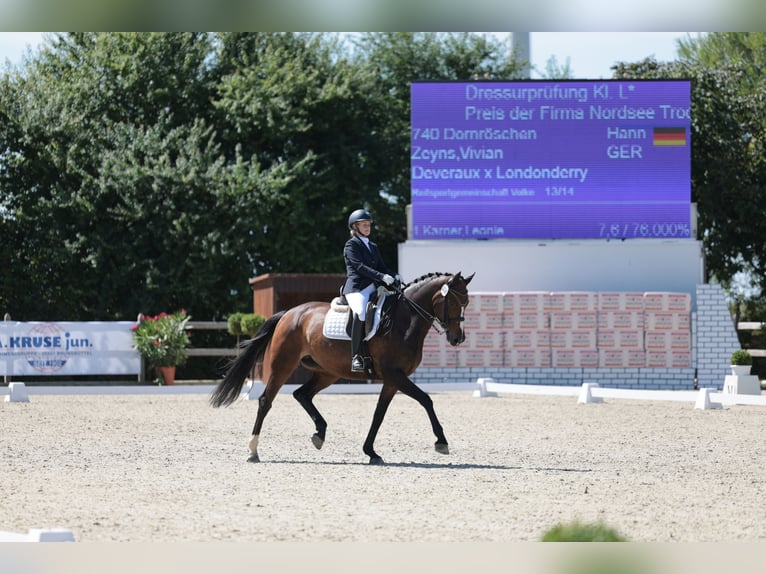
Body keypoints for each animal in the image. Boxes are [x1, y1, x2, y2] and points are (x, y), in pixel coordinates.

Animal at [210, 272, 474, 466]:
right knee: (266, 400)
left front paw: (371, 452)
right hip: (283, 365)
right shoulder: (395, 375)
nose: (458, 338)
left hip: (327, 372)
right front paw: (441, 442)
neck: (403, 321)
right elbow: (426, 399)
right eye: (453, 301)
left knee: (301, 394)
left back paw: (319, 434)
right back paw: (253, 451)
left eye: (467, 302)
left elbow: (379, 414)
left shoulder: (392, 380)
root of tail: (289, 313)